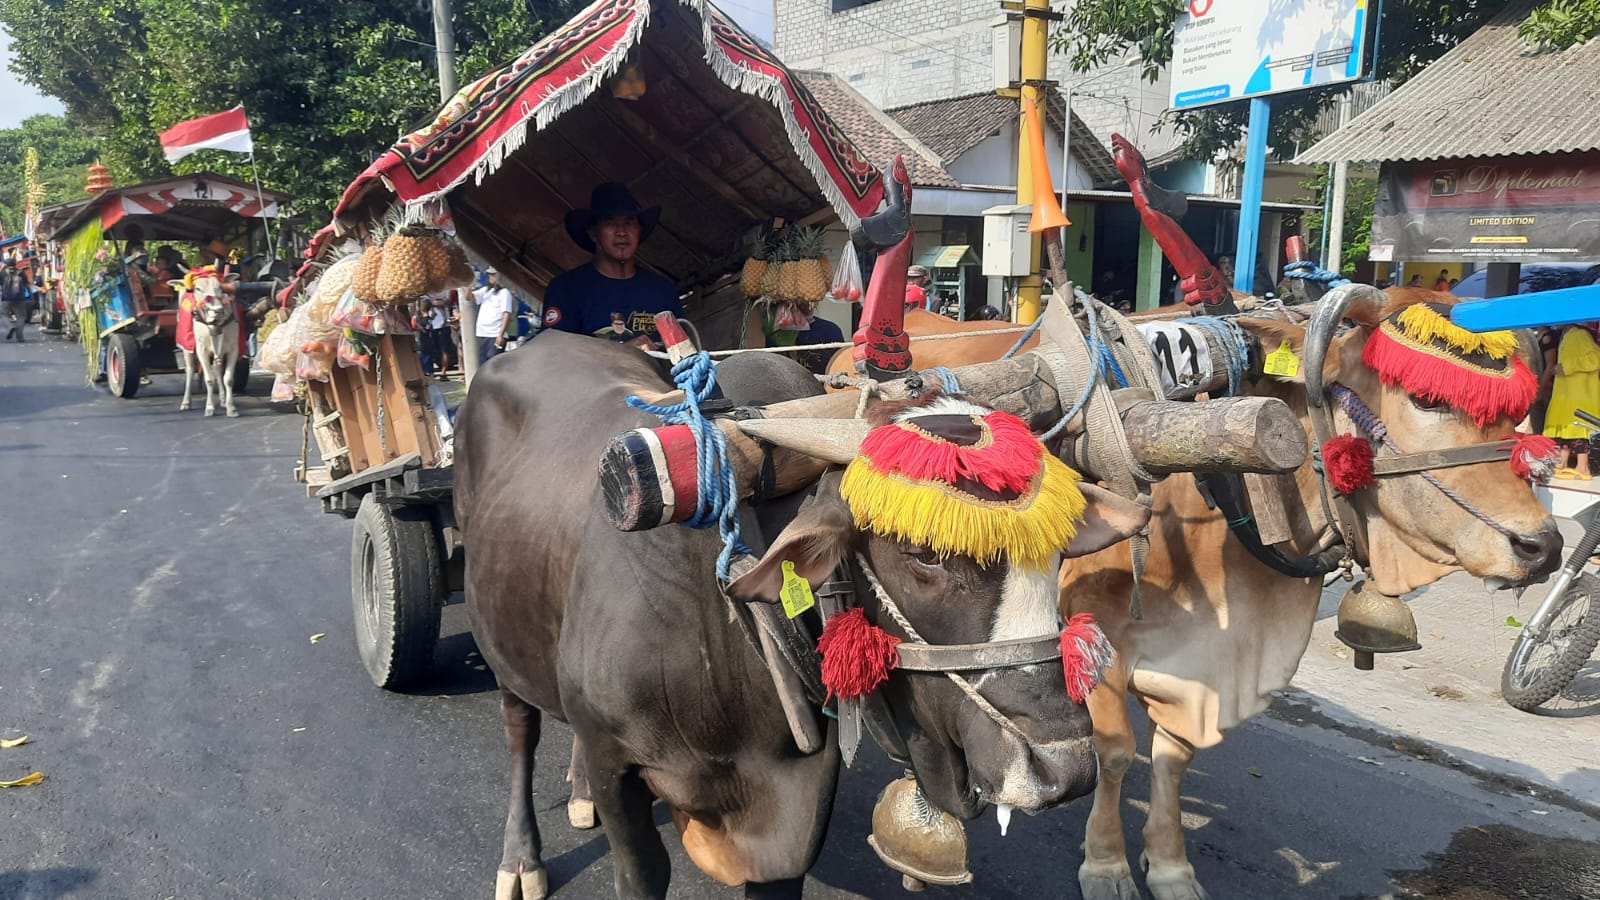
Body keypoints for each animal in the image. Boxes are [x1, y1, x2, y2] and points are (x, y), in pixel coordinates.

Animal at [173, 265, 241, 416]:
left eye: (220, 287)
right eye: (198, 288)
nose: (218, 310)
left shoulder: (233, 349)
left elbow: (228, 379)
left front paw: (231, 407)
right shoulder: (201, 350)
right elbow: (209, 379)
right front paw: (209, 408)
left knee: (217, 370)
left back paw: (222, 400)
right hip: (188, 348)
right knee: (190, 370)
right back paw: (186, 402)